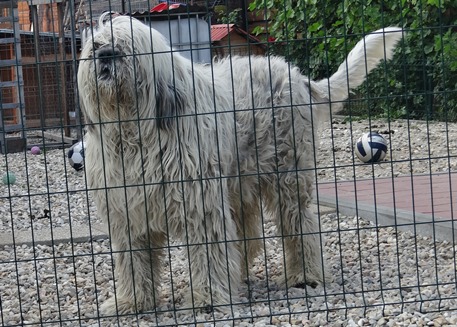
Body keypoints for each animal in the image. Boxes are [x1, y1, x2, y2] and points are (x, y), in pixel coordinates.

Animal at [78, 16, 402, 316]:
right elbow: (133, 261)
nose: (105, 55)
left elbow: (207, 253)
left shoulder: (200, 204)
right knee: (249, 237)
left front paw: (206, 299)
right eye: (96, 45)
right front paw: (132, 301)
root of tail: (297, 76)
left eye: (125, 46)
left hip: (287, 178)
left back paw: (305, 274)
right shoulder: (127, 212)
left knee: (301, 227)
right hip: (239, 183)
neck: (135, 132)